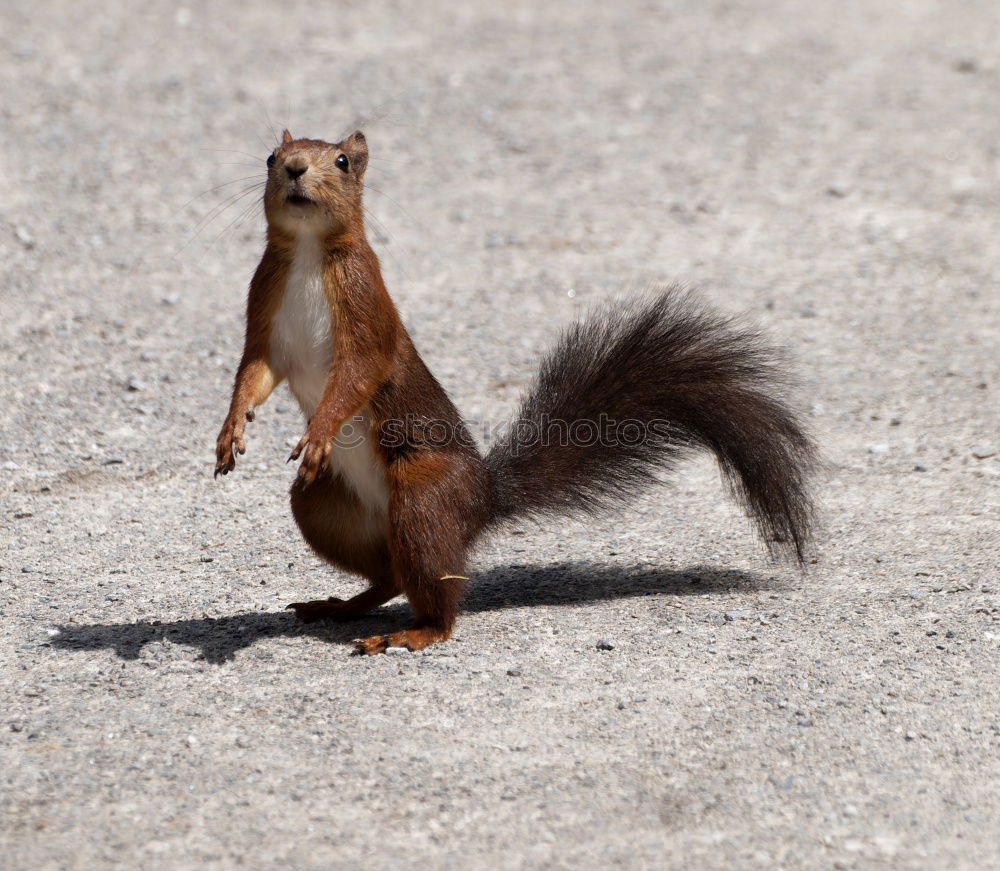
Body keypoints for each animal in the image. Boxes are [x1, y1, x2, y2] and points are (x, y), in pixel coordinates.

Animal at [215, 129, 816, 656]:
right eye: (272, 156)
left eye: (341, 162)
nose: (295, 169)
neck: (309, 252)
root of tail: (482, 500)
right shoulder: (265, 318)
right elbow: (253, 375)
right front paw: (230, 430)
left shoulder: (367, 316)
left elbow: (355, 378)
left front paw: (317, 432)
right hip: (325, 507)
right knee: (390, 576)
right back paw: (340, 606)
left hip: (422, 498)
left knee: (435, 595)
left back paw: (413, 633)